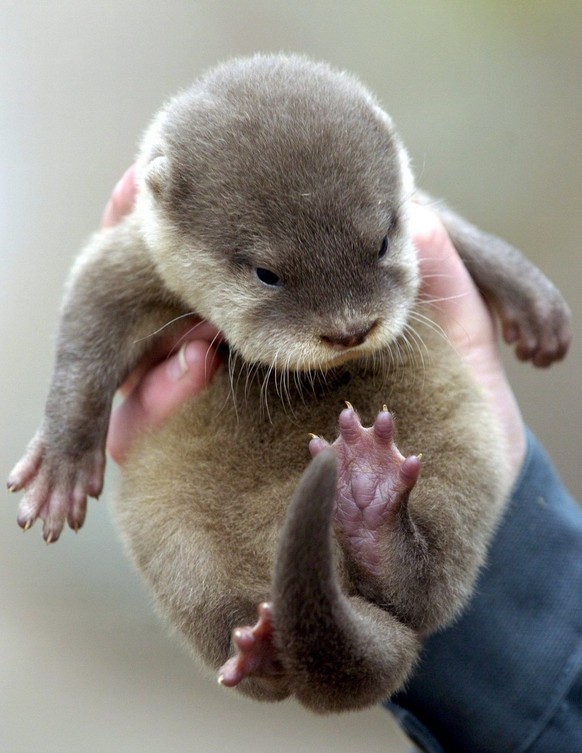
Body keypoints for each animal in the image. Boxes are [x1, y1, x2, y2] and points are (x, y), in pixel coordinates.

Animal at [9, 53, 572, 712]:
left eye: (383, 240)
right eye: (266, 273)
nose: (350, 330)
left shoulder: (425, 216)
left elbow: (465, 233)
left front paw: (535, 305)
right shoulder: (125, 258)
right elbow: (84, 344)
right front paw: (62, 468)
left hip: (465, 470)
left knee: (426, 582)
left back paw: (372, 502)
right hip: (184, 553)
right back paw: (270, 641)